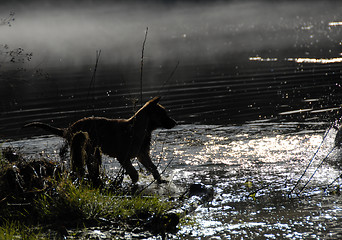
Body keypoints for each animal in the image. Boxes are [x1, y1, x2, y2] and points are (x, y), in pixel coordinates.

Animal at [24, 96, 176, 183]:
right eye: (163, 114)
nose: (175, 122)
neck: (139, 128)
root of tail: (70, 128)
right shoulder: (124, 157)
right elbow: (134, 173)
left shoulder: (142, 155)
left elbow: (154, 169)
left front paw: (160, 181)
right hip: (84, 148)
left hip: (93, 151)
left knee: (90, 167)